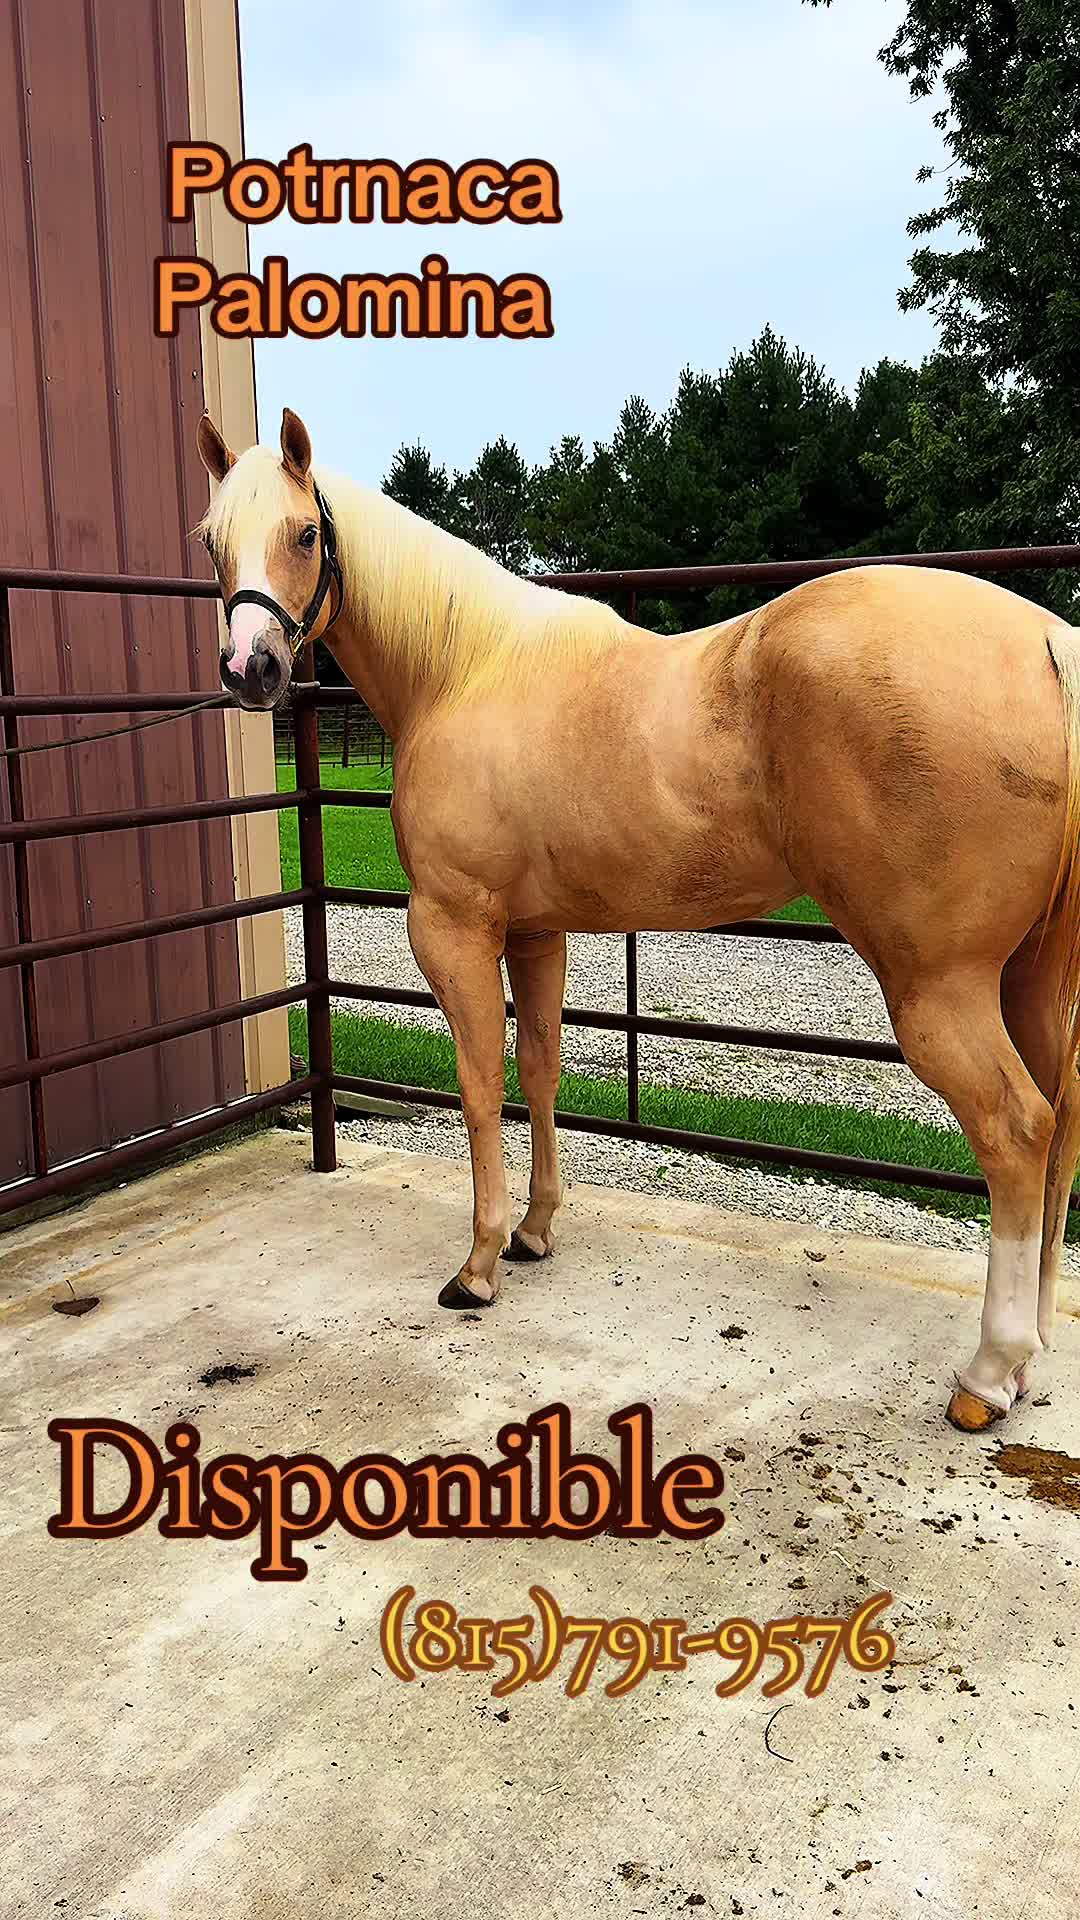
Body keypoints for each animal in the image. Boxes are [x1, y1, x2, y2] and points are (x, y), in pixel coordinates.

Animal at [196, 406, 1080, 1436]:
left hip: (938, 986)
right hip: (1030, 976)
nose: (250, 669)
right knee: (1060, 1124)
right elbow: (538, 1070)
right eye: (211, 540)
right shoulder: (534, 932)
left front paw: (479, 1267)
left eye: (304, 533)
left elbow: (479, 1082)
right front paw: (535, 1232)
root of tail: (1044, 641)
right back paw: (1032, 1353)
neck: (467, 669)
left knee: (1017, 1131)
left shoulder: (454, 928)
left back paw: (988, 1374)